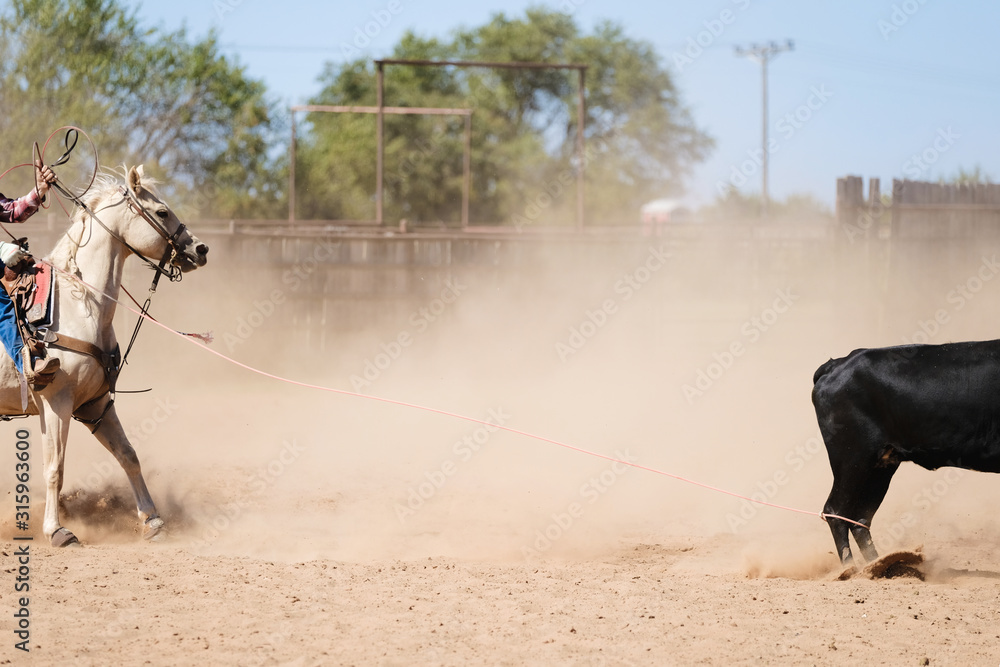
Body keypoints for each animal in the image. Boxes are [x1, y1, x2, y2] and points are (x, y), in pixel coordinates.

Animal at [812, 340, 1000, 565]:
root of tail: (838, 364)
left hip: (880, 466)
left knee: (859, 518)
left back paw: (878, 565)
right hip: (852, 458)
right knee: (836, 511)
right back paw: (852, 569)